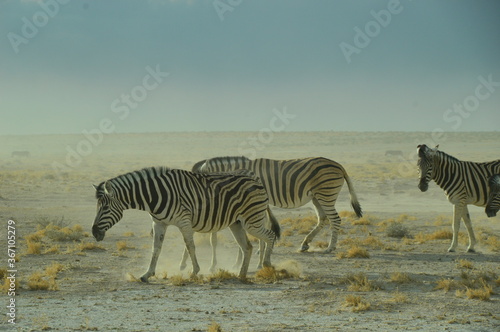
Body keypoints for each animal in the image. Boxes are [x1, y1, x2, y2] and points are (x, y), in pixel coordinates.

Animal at [93, 167, 282, 282]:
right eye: (97, 207)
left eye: (105, 207)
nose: (94, 232)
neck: (155, 195)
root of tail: (257, 180)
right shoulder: (159, 223)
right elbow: (156, 249)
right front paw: (147, 274)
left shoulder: (184, 221)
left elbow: (190, 245)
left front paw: (194, 271)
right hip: (236, 223)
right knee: (247, 247)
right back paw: (241, 274)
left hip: (252, 220)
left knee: (270, 235)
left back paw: (266, 264)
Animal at [192, 157, 364, 253]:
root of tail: (339, 165)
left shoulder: (257, 202)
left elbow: (264, 225)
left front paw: (261, 249)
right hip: (317, 196)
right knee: (323, 219)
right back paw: (305, 244)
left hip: (326, 194)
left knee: (335, 219)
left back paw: (330, 248)